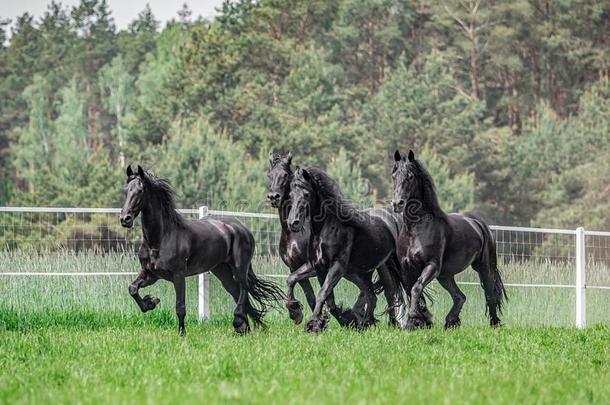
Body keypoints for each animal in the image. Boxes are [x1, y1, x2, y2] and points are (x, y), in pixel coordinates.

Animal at [120, 164, 284, 334]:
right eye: (126, 191)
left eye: (140, 191)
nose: (125, 219)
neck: (161, 238)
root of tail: (242, 228)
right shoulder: (151, 274)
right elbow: (132, 288)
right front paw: (151, 301)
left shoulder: (178, 275)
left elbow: (180, 307)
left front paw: (182, 333)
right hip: (222, 271)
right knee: (236, 291)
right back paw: (244, 328)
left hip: (240, 268)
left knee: (243, 288)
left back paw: (238, 321)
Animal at [268, 152, 402, 326]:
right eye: (269, 175)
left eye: (285, 175)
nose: (273, 197)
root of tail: (391, 218)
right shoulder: (313, 266)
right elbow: (300, 285)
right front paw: (298, 313)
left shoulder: (334, 266)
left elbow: (320, 294)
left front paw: (314, 322)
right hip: (358, 271)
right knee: (370, 293)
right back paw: (364, 321)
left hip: (383, 266)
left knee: (390, 291)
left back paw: (394, 322)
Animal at [390, 150, 504, 330]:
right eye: (394, 175)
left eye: (410, 176)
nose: (397, 203)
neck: (416, 230)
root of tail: (478, 223)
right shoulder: (407, 268)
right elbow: (414, 291)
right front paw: (421, 321)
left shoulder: (432, 266)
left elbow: (416, 288)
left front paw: (413, 319)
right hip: (445, 275)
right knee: (459, 296)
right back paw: (451, 321)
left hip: (484, 267)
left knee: (490, 293)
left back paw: (494, 323)